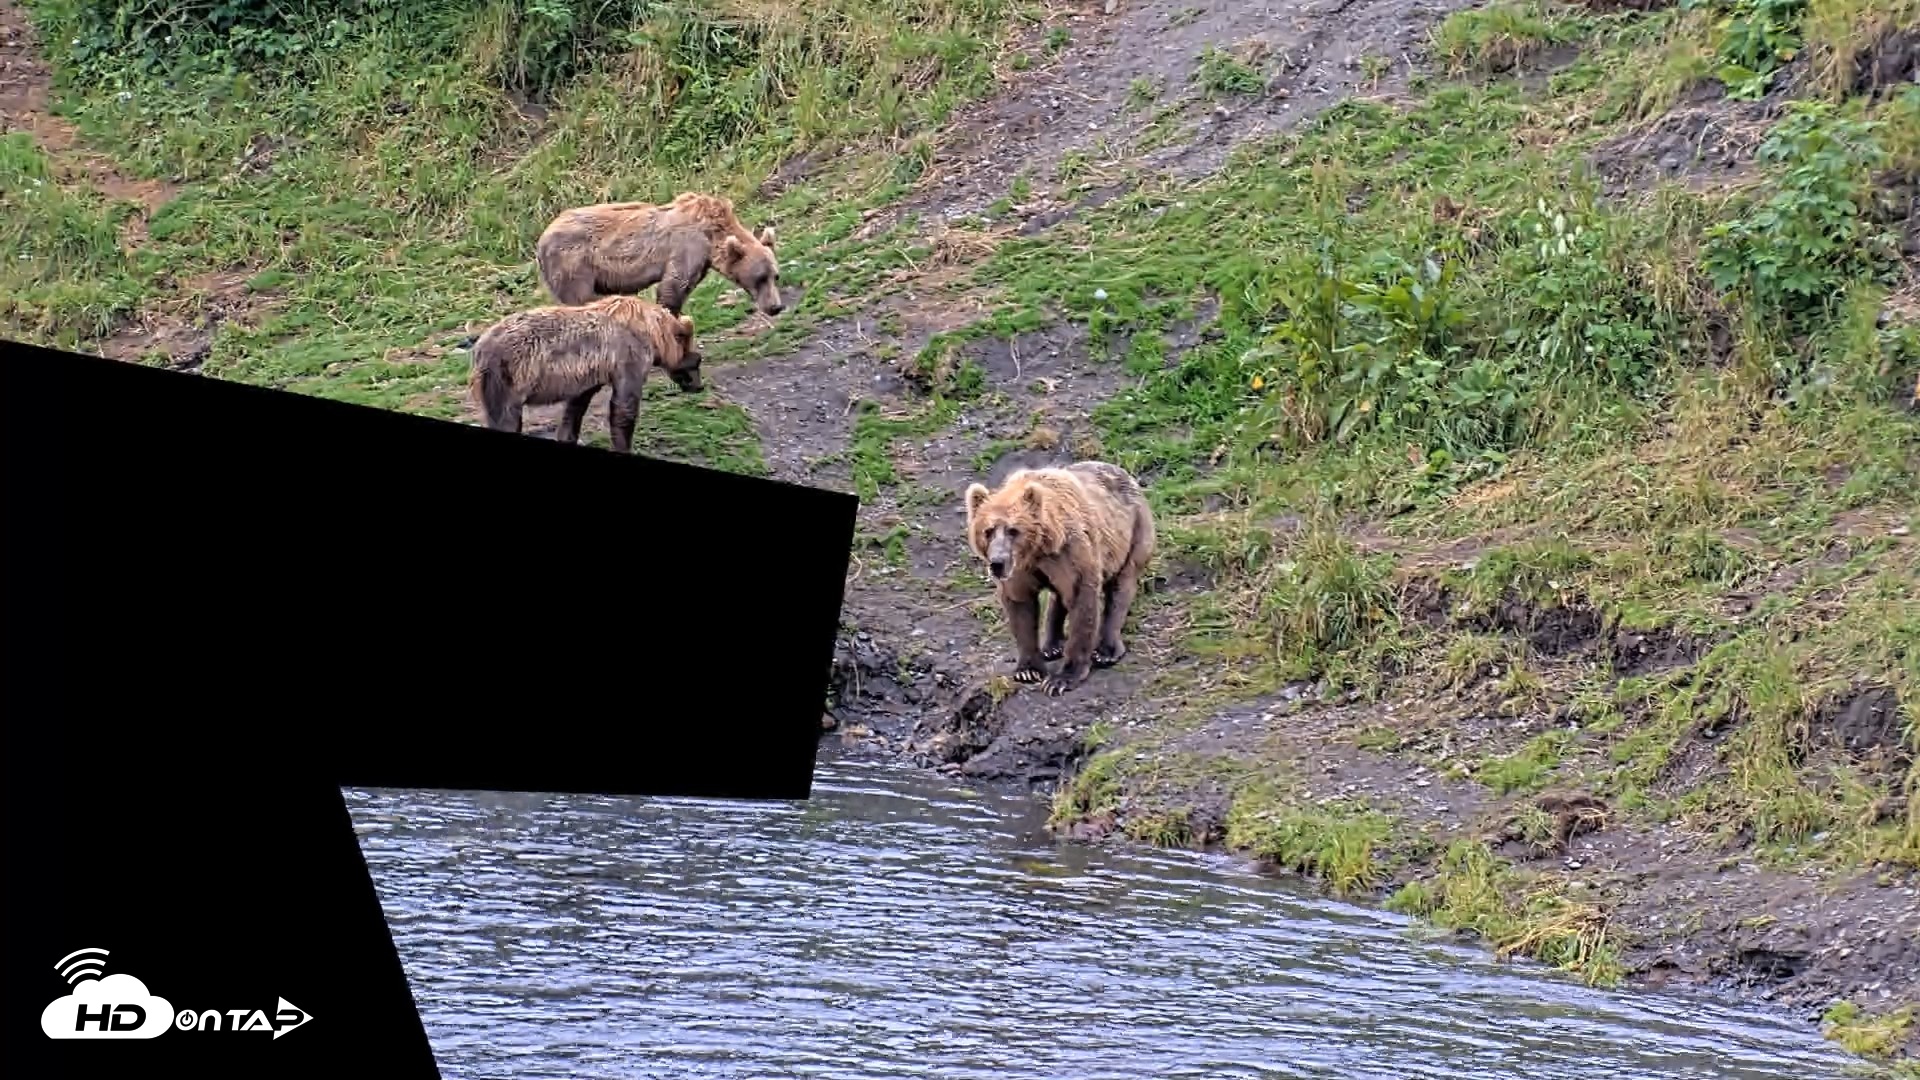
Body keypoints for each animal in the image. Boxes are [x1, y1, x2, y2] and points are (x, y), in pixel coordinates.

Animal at [467, 294, 702, 455]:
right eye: (697, 361)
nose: (699, 385)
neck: (655, 335)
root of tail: (481, 347)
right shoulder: (629, 359)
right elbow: (624, 408)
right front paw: (624, 445)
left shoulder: (589, 374)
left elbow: (576, 407)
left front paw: (567, 437)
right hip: (509, 379)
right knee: (506, 419)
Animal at [534, 191, 784, 317]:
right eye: (760, 278)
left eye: (775, 276)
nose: (775, 307)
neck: (712, 234)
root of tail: (541, 239)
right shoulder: (687, 247)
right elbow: (672, 288)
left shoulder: (701, 260)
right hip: (573, 263)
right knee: (580, 298)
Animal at [963, 460, 1157, 697]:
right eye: (988, 531)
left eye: (1013, 530)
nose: (997, 563)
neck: (1036, 551)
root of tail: (1129, 477)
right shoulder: (1021, 572)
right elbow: (1021, 607)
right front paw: (1028, 670)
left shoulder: (1071, 553)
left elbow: (1082, 602)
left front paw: (1063, 678)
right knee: (1058, 598)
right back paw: (1051, 646)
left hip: (1132, 533)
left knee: (1120, 587)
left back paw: (1106, 651)